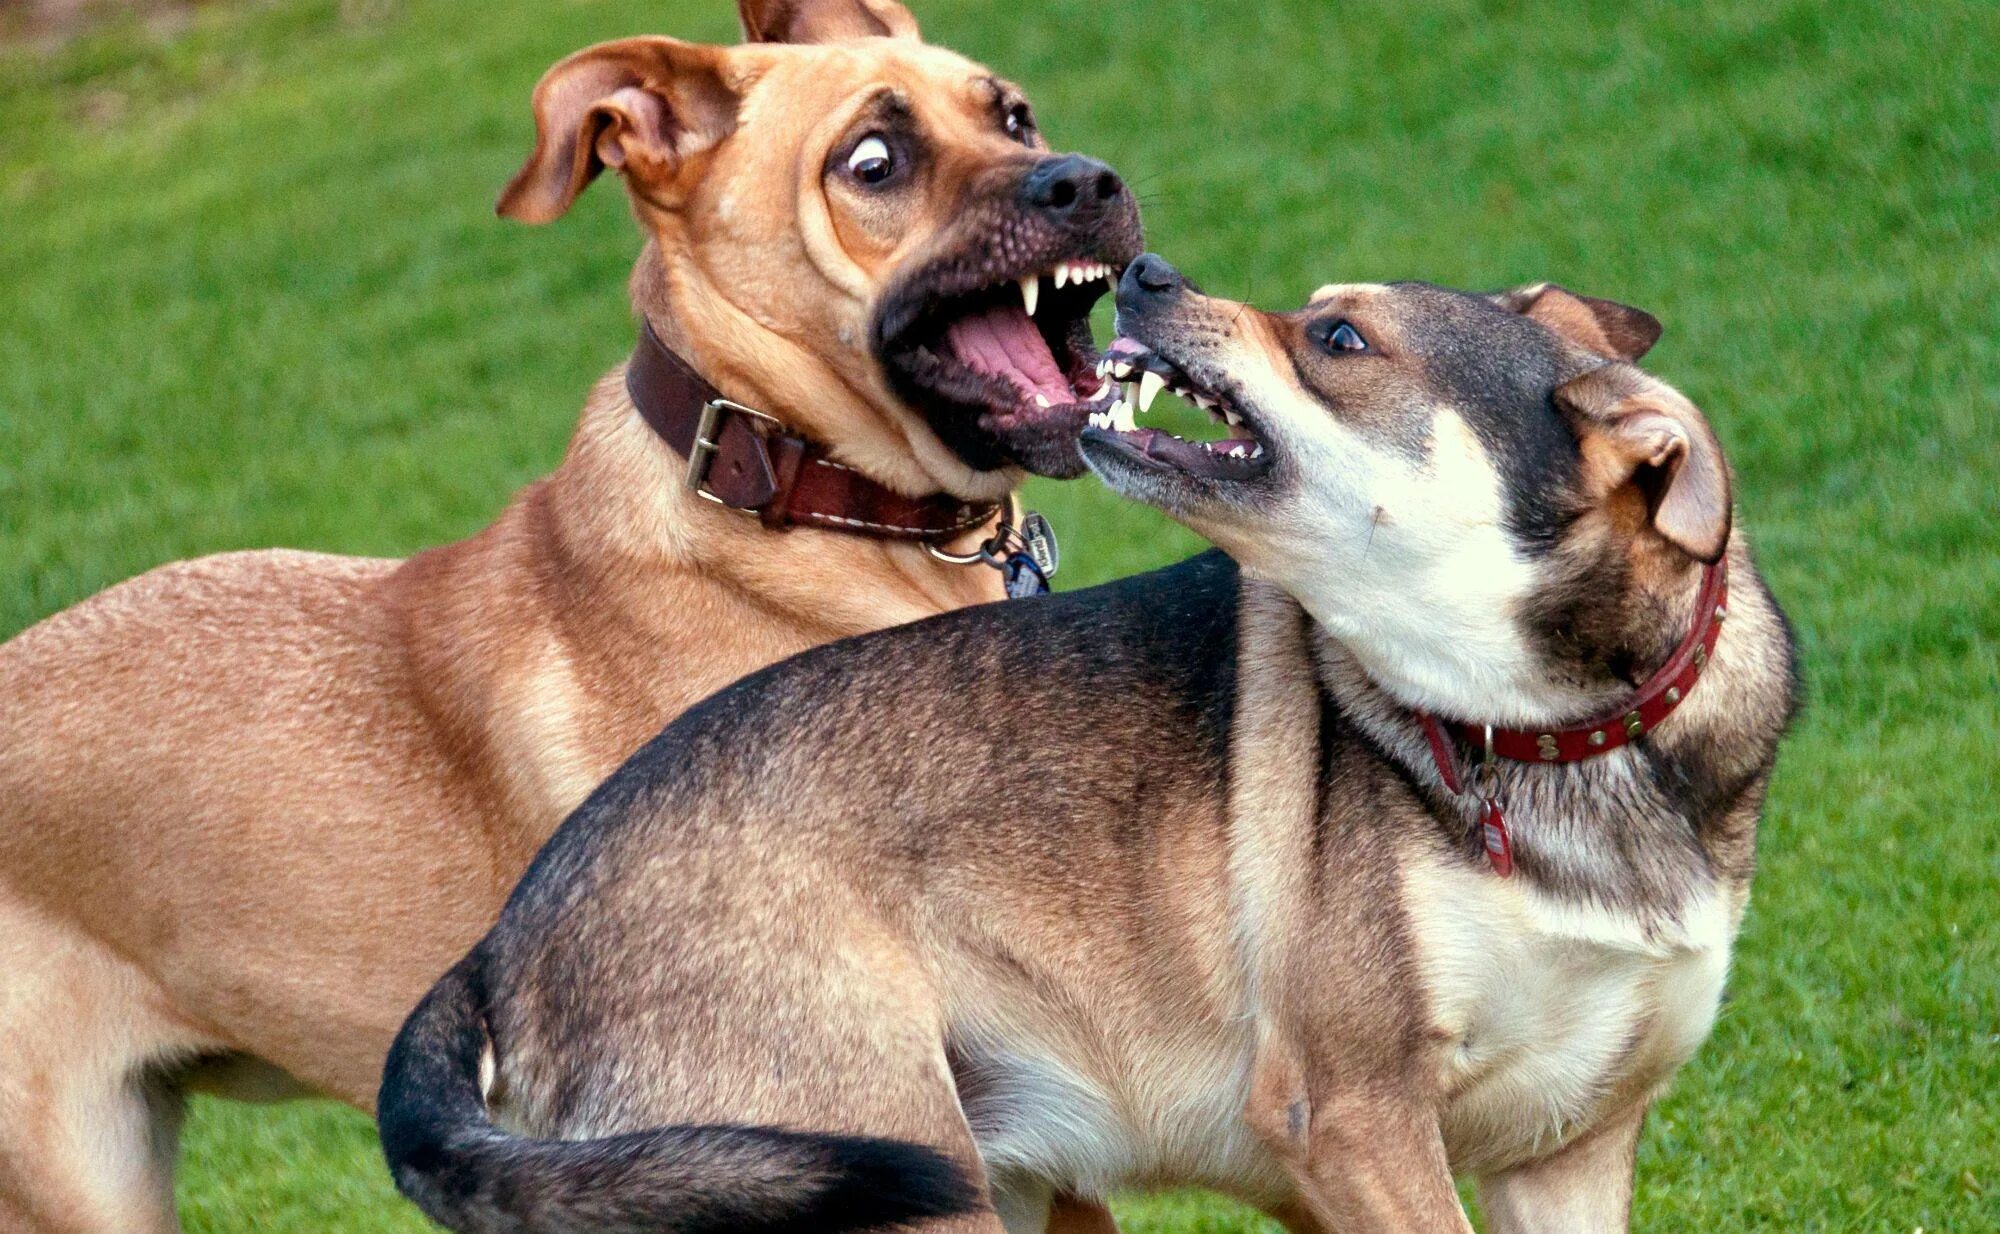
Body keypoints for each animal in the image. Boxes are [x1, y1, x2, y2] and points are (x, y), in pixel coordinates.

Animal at [376, 260, 1800, 1232]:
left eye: (1338, 338)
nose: (1148, 270)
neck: (1556, 733)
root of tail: (503, 940)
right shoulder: (1356, 1122)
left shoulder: (1565, 1155)